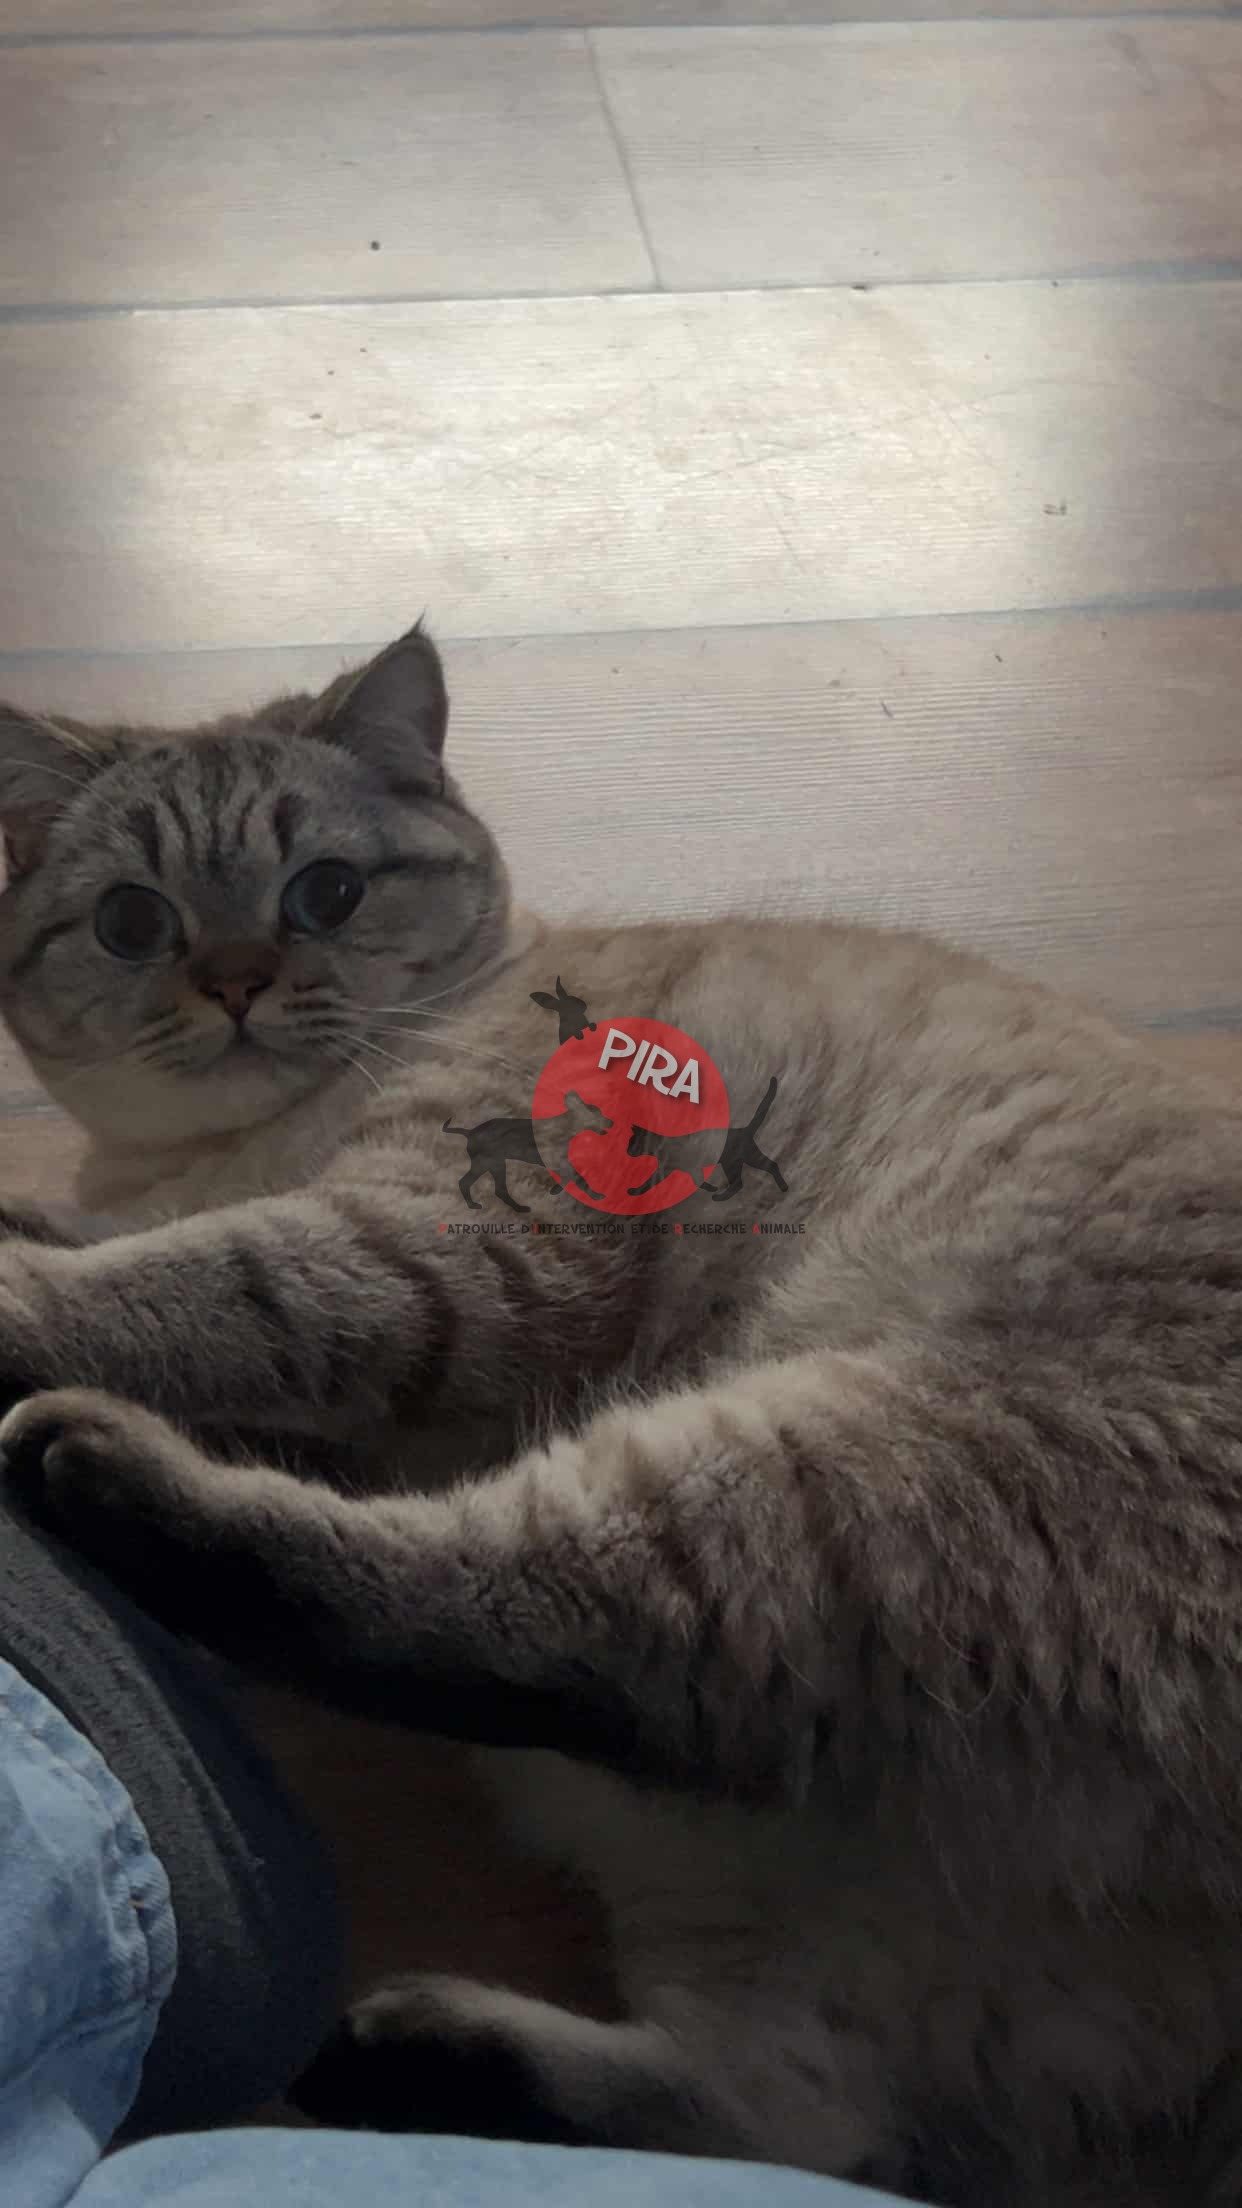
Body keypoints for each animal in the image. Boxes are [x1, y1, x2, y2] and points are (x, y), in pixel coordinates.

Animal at [445, 1088, 611, 1212]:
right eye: (597, 1111)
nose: (611, 1122)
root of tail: (470, 1132)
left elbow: (577, 1177)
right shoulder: (555, 1161)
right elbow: (573, 1177)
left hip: (491, 1164)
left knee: (486, 1187)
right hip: (490, 1163)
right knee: (474, 1184)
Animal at [626, 1074, 788, 1201]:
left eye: (633, 1143)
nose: (627, 1151)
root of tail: (743, 1130)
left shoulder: (688, 1169)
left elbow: (695, 1182)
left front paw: (711, 1188)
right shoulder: (669, 1170)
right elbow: (649, 1183)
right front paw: (634, 1191)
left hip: (742, 1159)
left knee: (769, 1166)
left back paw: (783, 1187)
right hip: (735, 1162)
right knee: (740, 1182)